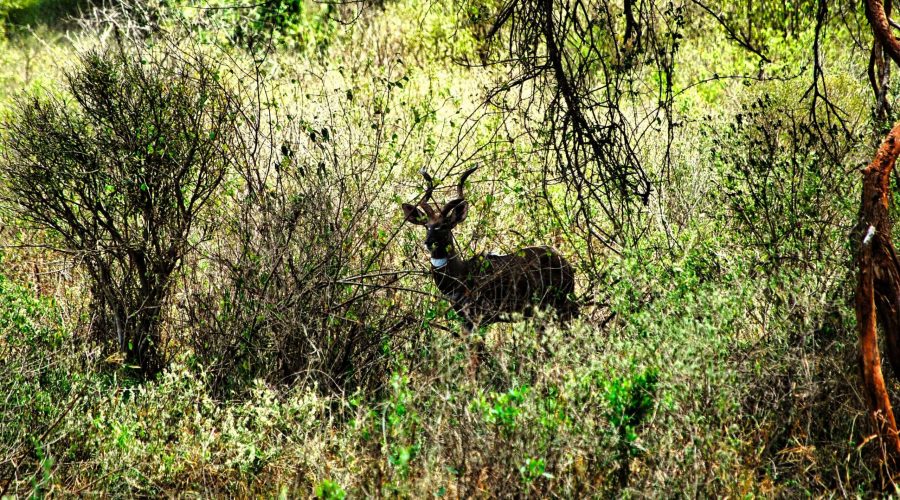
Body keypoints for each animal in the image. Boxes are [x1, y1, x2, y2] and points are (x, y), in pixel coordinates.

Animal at [400, 166, 576, 334]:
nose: (428, 242)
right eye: (426, 226)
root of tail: (566, 264)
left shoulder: (479, 318)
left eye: (444, 226)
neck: (461, 275)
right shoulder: (465, 321)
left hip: (559, 307)